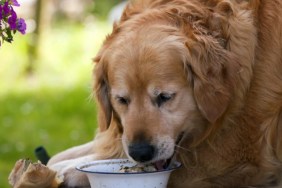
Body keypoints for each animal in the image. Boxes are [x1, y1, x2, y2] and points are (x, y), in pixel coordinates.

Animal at [47, 0, 282, 187]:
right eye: (121, 100)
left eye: (165, 97)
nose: (140, 153)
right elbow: (61, 155)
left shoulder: (230, 162)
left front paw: (65, 171)